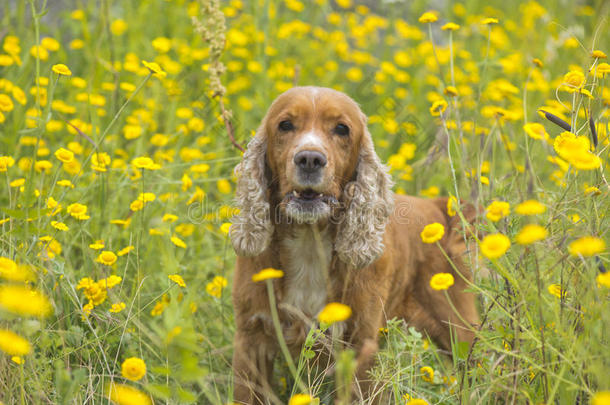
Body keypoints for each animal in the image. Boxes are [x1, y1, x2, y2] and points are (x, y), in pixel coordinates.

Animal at [227, 87, 476, 402]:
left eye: (341, 129)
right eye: (285, 125)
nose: (310, 159)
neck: (310, 242)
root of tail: (437, 208)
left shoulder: (360, 345)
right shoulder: (251, 338)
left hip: (459, 331)